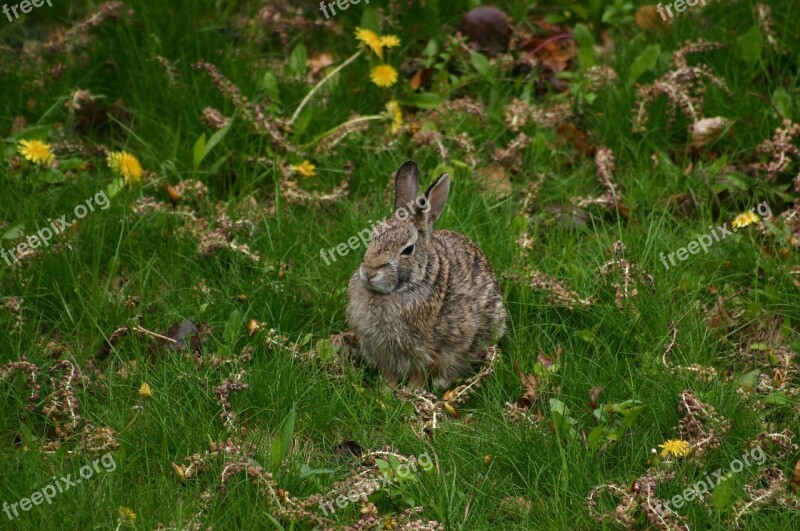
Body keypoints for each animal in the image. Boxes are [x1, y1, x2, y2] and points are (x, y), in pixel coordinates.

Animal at [346, 160, 506, 388]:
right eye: (373, 237)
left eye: (407, 250)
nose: (369, 272)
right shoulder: (380, 351)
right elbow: (388, 374)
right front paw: (386, 391)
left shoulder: (426, 351)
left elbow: (419, 374)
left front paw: (411, 393)